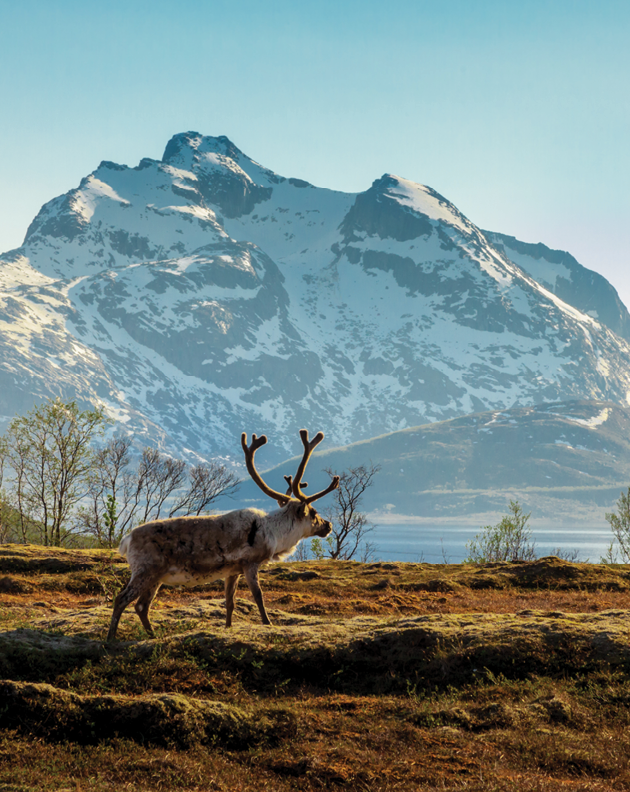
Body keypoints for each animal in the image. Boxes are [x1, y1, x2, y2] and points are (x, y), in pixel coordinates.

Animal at [106, 429, 339, 642]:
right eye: (314, 513)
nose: (328, 525)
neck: (274, 533)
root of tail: (126, 539)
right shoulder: (250, 563)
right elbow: (258, 597)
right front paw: (268, 624)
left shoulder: (232, 571)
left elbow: (230, 602)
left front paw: (228, 628)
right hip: (145, 570)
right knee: (122, 599)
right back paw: (111, 639)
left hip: (156, 577)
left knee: (141, 606)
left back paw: (153, 635)